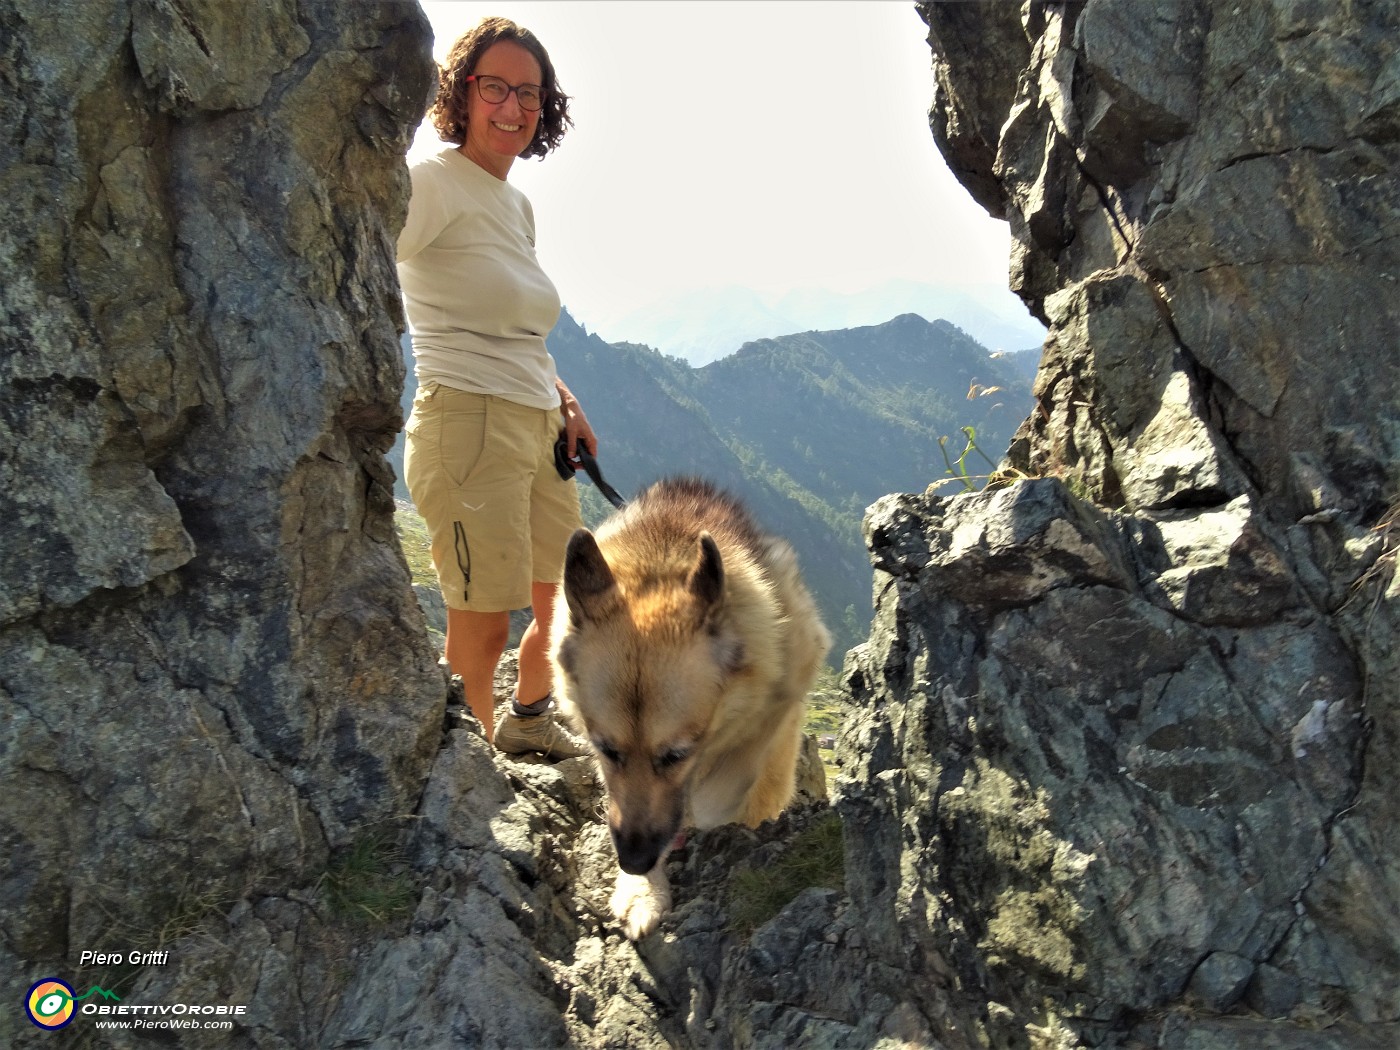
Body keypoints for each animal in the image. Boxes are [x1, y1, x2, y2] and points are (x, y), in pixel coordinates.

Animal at [548, 476, 828, 935]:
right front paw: (643, 889)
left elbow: (741, 763)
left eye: (676, 754)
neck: (662, 556)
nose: (634, 861)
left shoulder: (788, 679)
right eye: (607, 750)